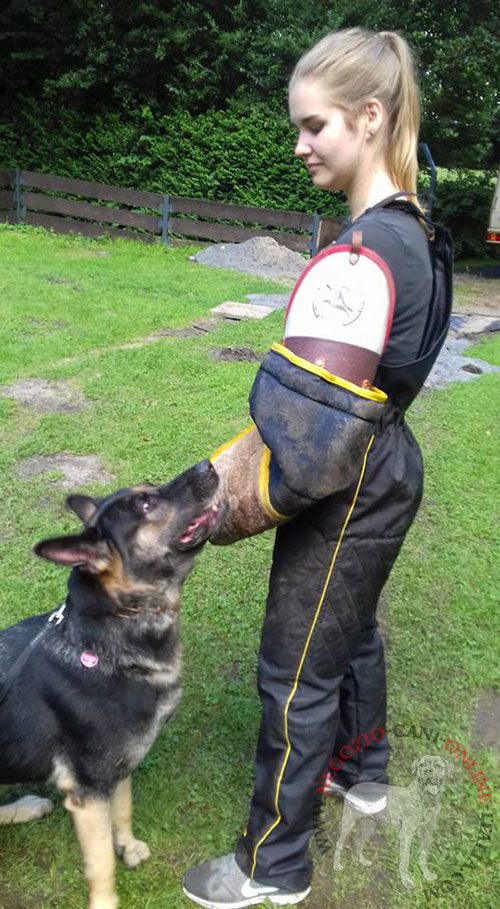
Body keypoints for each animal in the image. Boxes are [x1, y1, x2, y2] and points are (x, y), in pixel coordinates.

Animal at [0, 462, 223, 908]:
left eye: (148, 489)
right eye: (146, 504)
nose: (207, 465)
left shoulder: (118, 768)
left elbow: (123, 810)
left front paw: (128, 845)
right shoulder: (88, 795)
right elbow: (100, 862)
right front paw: (106, 898)